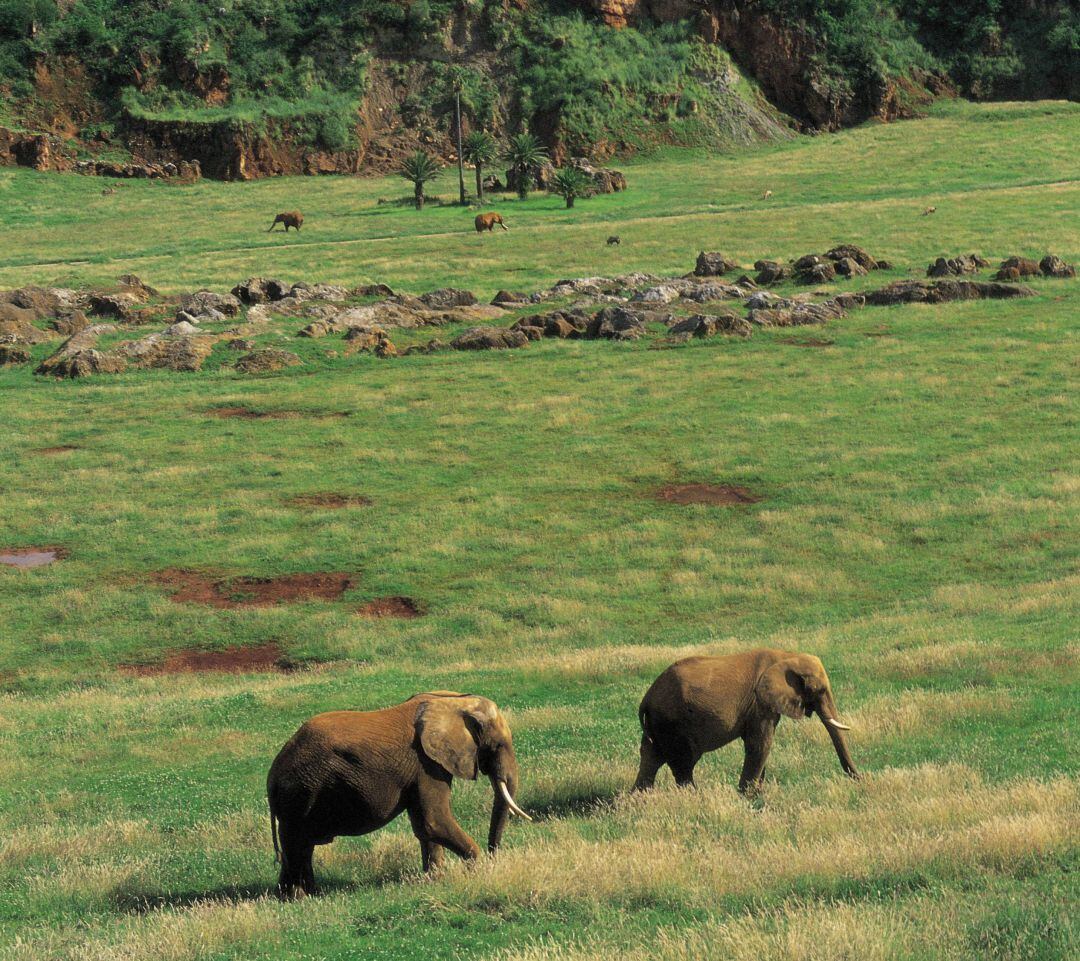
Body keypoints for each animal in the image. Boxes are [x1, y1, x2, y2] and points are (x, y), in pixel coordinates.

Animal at [263, 691, 529, 898]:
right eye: (498, 746)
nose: (494, 858)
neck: (453, 703)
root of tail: (272, 775)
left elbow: (425, 826)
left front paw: (436, 879)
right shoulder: (426, 764)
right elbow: (434, 821)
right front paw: (477, 870)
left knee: (299, 846)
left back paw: (297, 896)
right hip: (300, 792)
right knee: (297, 845)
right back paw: (299, 898)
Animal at [630, 647, 859, 790]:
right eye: (819, 690)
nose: (859, 780)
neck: (786, 655)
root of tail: (646, 699)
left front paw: (757, 794)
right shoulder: (760, 703)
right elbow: (761, 744)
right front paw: (747, 796)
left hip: (658, 723)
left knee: (651, 758)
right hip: (673, 723)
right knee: (683, 764)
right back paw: (694, 797)